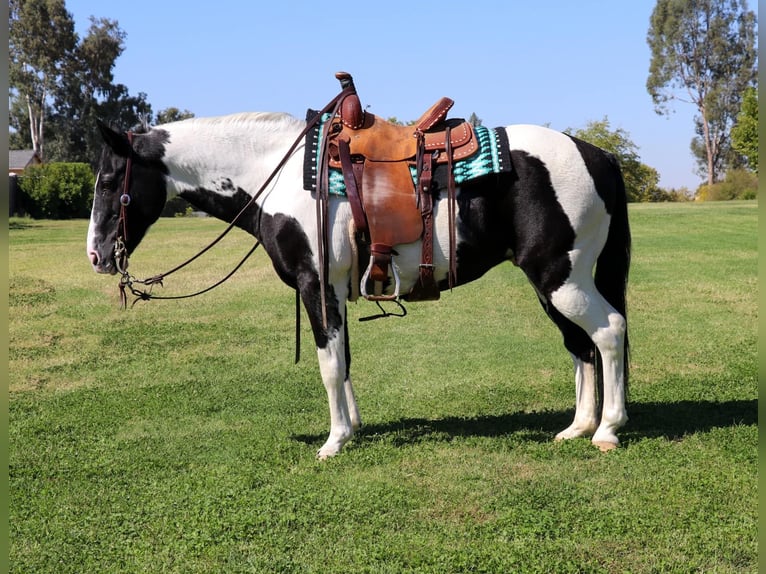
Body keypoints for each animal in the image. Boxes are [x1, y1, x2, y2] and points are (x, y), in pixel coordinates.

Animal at [87, 93, 630, 459]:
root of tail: (598, 155)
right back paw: (577, 428)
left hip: (562, 278)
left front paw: (333, 441)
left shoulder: (316, 287)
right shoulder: (334, 292)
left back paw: (607, 430)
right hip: (551, 283)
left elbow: (328, 366)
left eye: (111, 182)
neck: (280, 175)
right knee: (580, 345)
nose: (95, 255)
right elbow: (343, 360)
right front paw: (353, 428)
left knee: (609, 332)